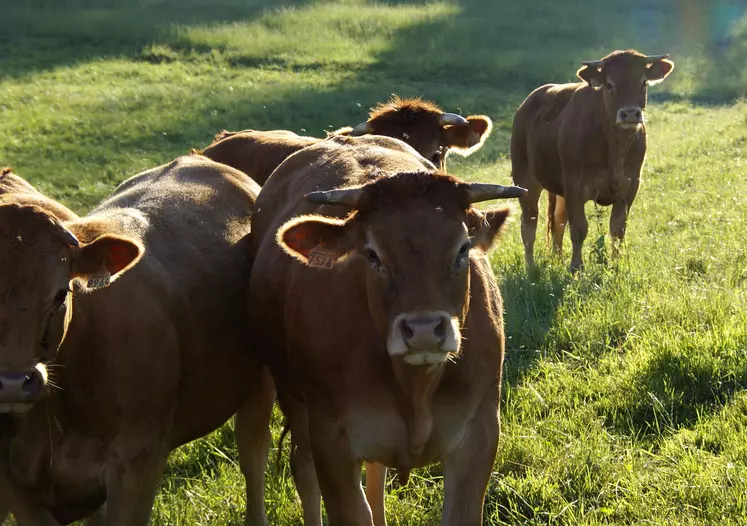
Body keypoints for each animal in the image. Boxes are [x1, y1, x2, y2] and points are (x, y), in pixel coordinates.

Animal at [0, 158, 274, 526]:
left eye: (60, 294)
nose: (14, 383)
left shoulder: (137, 466)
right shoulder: (18, 489)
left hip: (259, 384)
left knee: (253, 455)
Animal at [248, 136, 524, 526]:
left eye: (463, 249)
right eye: (372, 254)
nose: (423, 330)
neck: (416, 388)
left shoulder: (480, 434)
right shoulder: (331, 440)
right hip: (293, 401)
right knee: (304, 470)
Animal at [512, 48, 676, 272]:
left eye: (643, 82)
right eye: (609, 84)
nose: (630, 114)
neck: (614, 147)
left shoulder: (630, 184)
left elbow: (618, 228)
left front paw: (616, 265)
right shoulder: (574, 185)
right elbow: (579, 229)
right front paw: (576, 268)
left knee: (558, 222)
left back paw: (558, 259)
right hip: (525, 179)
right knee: (529, 223)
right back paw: (531, 267)